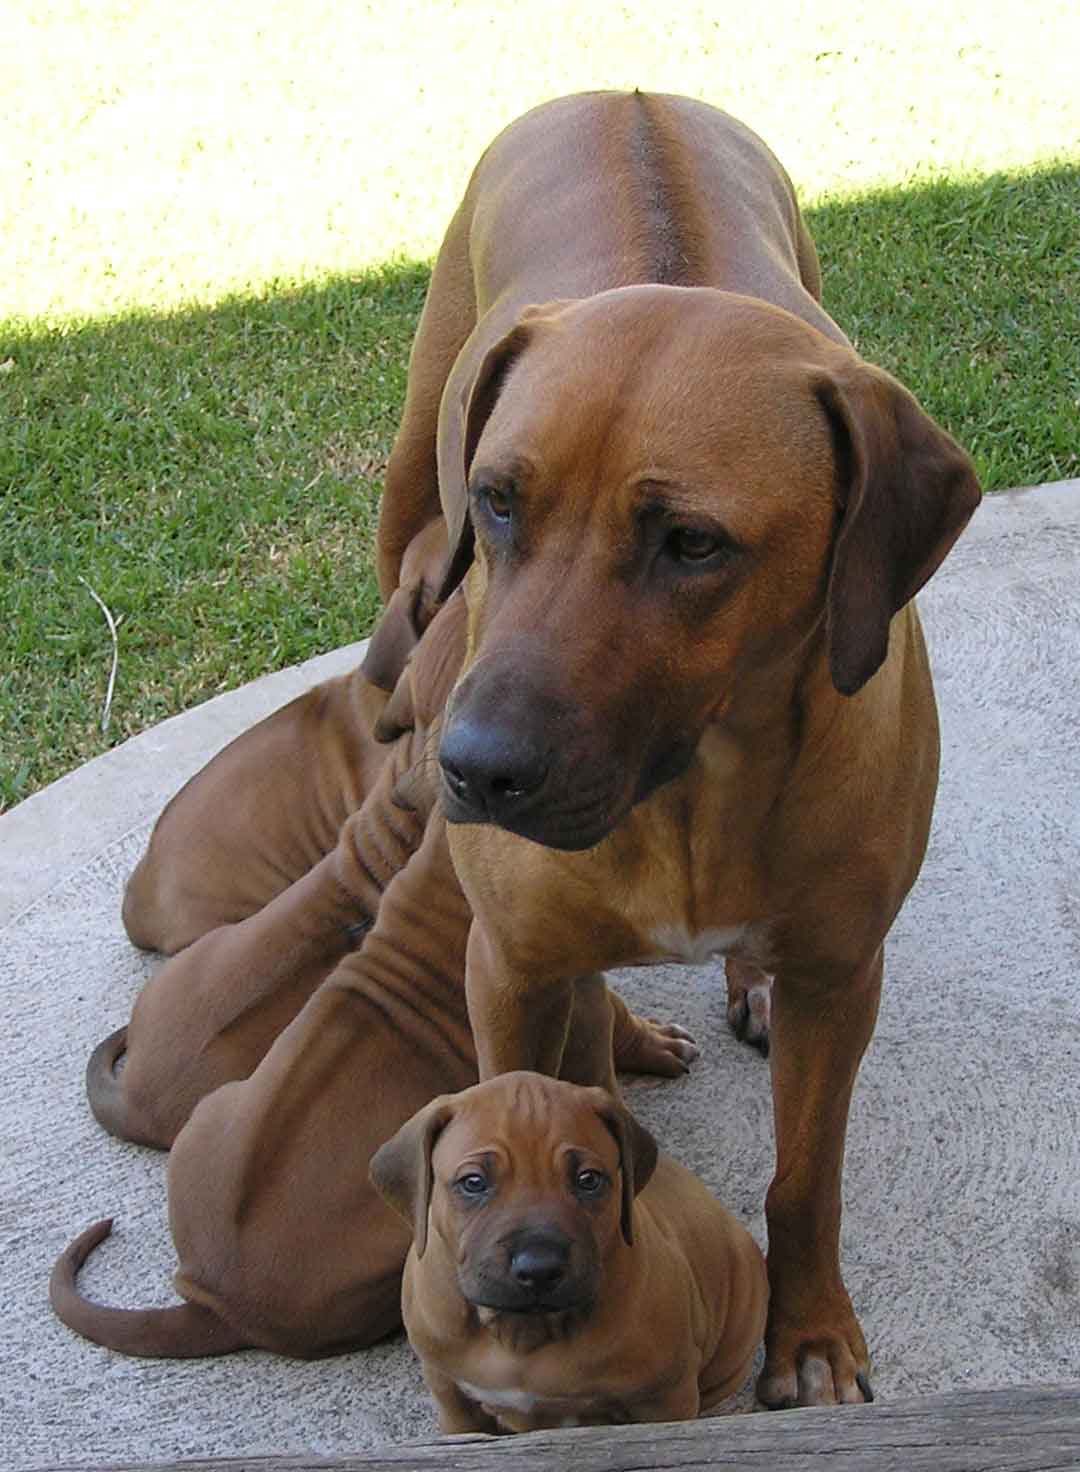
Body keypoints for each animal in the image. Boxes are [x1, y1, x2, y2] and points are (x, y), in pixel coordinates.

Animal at [372, 1077, 771, 1430]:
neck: (525, 1334)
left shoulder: (666, 1397)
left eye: (588, 1180)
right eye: (473, 1182)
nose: (539, 1269)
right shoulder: (451, 1395)